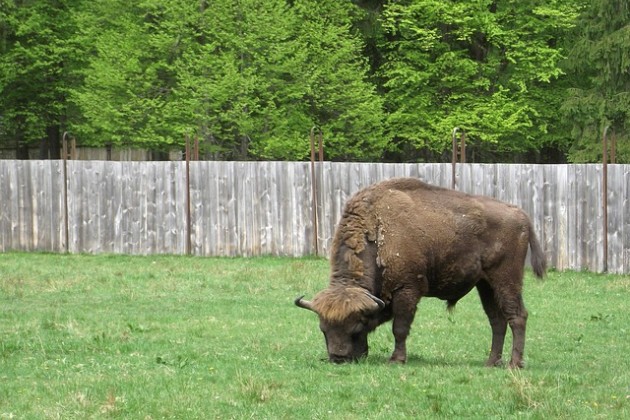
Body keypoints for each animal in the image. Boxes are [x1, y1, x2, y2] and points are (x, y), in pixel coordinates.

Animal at [296, 177, 548, 368]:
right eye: (323, 329)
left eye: (357, 326)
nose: (338, 357)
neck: (377, 227)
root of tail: (521, 215)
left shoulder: (407, 290)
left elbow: (400, 328)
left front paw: (396, 359)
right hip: (485, 284)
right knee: (497, 320)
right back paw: (491, 362)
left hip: (507, 279)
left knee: (517, 316)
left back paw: (514, 364)